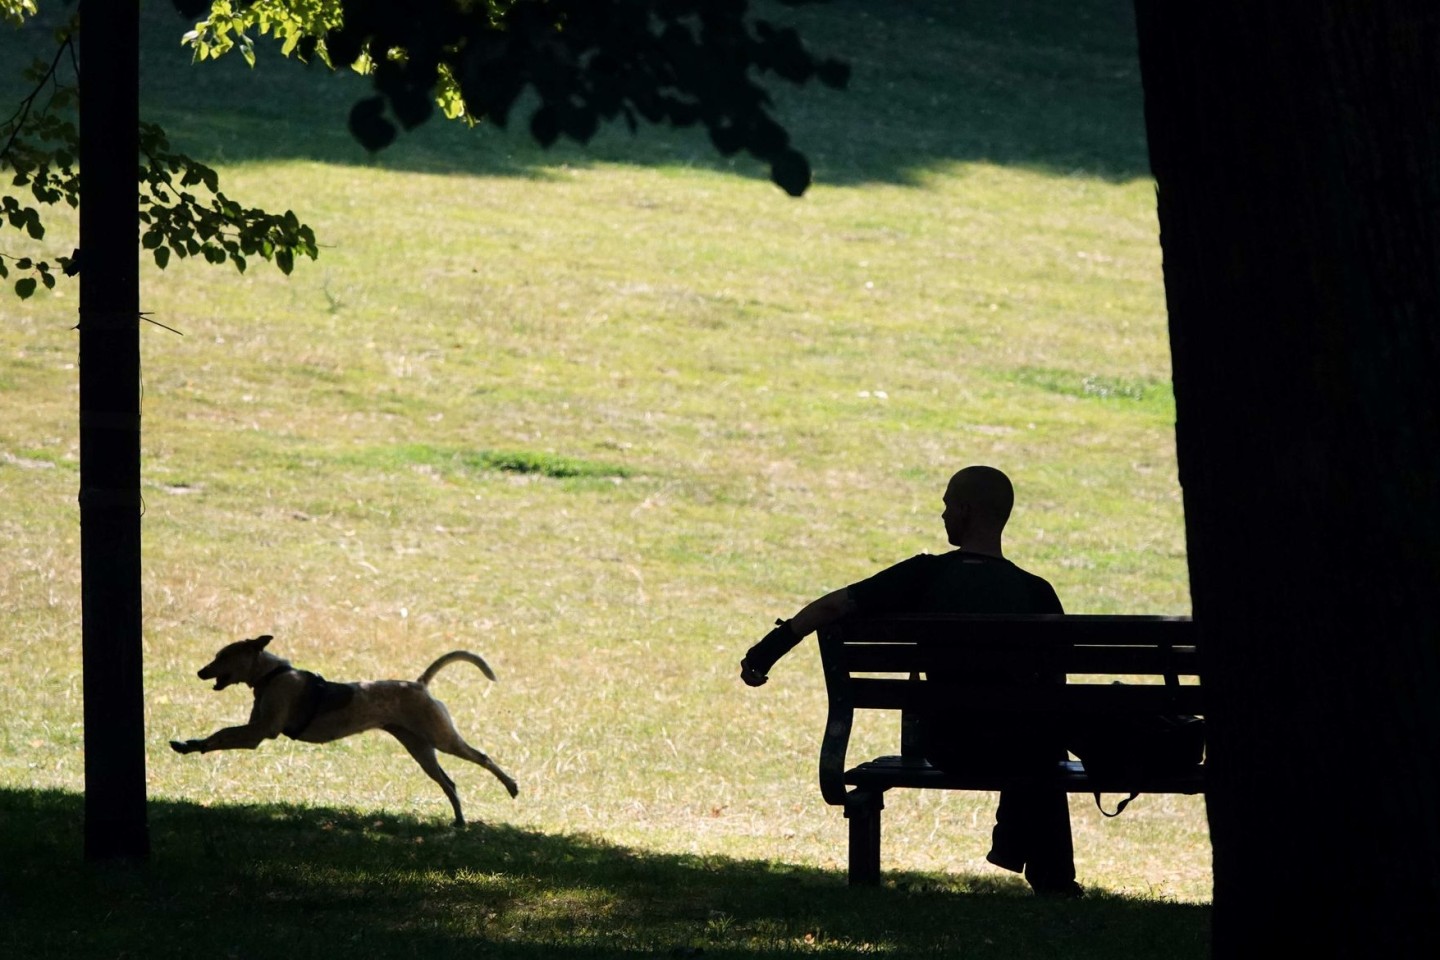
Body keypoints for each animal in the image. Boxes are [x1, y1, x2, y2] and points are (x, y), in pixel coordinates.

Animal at [169, 639, 518, 829]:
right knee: (449, 783)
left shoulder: (259, 733)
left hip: (441, 738)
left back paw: (511, 786)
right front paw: (188, 745)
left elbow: (223, 733)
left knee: (482, 757)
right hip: (419, 749)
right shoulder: (255, 728)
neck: (269, 674)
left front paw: (193, 744)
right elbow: (219, 735)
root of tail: (419, 684)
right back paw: (459, 821)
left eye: (222, 656)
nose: (200, 671)